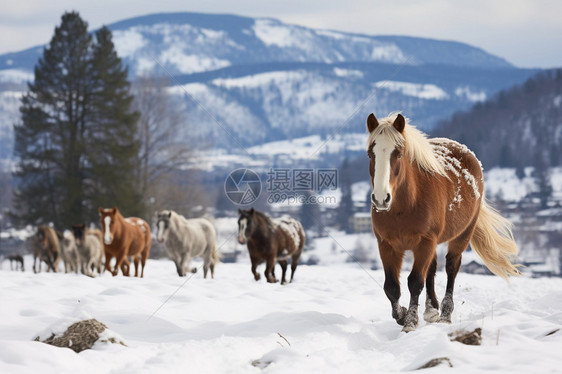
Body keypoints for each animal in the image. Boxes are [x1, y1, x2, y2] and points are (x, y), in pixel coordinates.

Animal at [366, 112, 520, 332]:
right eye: (370, 154)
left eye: (399, 154)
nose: (381, 199)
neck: (404, 206)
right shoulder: (387, 244)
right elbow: (392, 287)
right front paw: (402, 315)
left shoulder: (425, 242)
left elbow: (415, 282)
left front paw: (410, 323)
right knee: (431, 268)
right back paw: (431, 309)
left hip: (462, 235)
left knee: (451, 267)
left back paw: (445, 314)